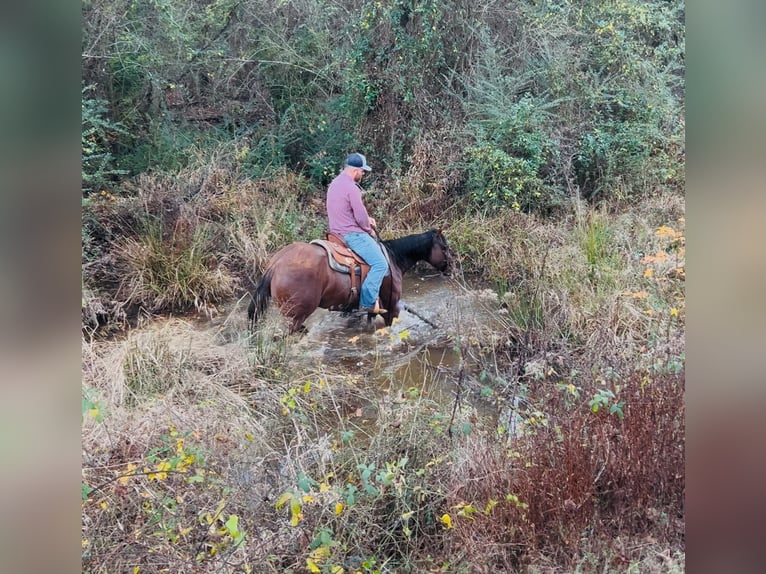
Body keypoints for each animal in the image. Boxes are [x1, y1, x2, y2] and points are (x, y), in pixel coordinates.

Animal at [250, 230, 456, 336]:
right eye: (445, 247)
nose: (452, 268)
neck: (393, 258)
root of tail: (275, 264)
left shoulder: (366, 308)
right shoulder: (392, 307)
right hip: (295, 315)